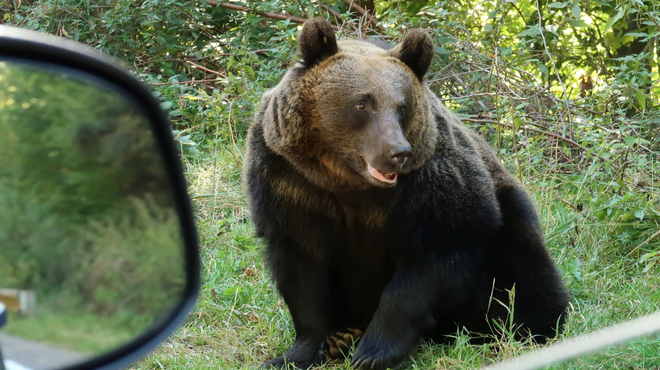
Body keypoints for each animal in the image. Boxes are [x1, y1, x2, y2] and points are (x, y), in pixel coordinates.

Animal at [245, 16, 568, 370]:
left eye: (401, 106)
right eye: (362, 103)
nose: (398, 152)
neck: (349, 182)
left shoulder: (431, 190)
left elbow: (428, 265)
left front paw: (374, 353)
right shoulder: (291, 186)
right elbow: (303, 279)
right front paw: (297, 353)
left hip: (508, 216)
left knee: (525, 270)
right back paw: (342, 336)